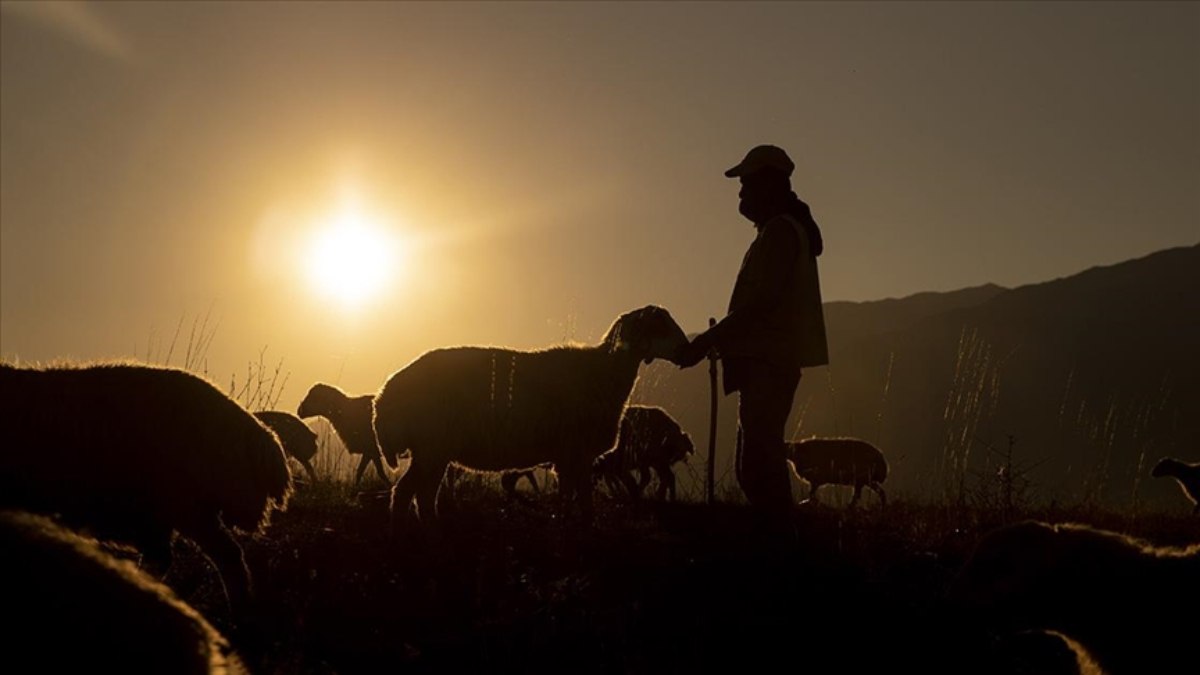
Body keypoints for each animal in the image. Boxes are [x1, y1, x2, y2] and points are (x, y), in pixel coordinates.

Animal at [374, 305, 696, 521]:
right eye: (660, 326)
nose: (687, 351)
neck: (603, 373)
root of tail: (384, 396)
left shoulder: (571, 458)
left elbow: (575, 501)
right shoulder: (575, 453)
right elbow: (578, 504)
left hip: (432, 451)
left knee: (415, 495)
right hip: (432, 447)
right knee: (410, 493)